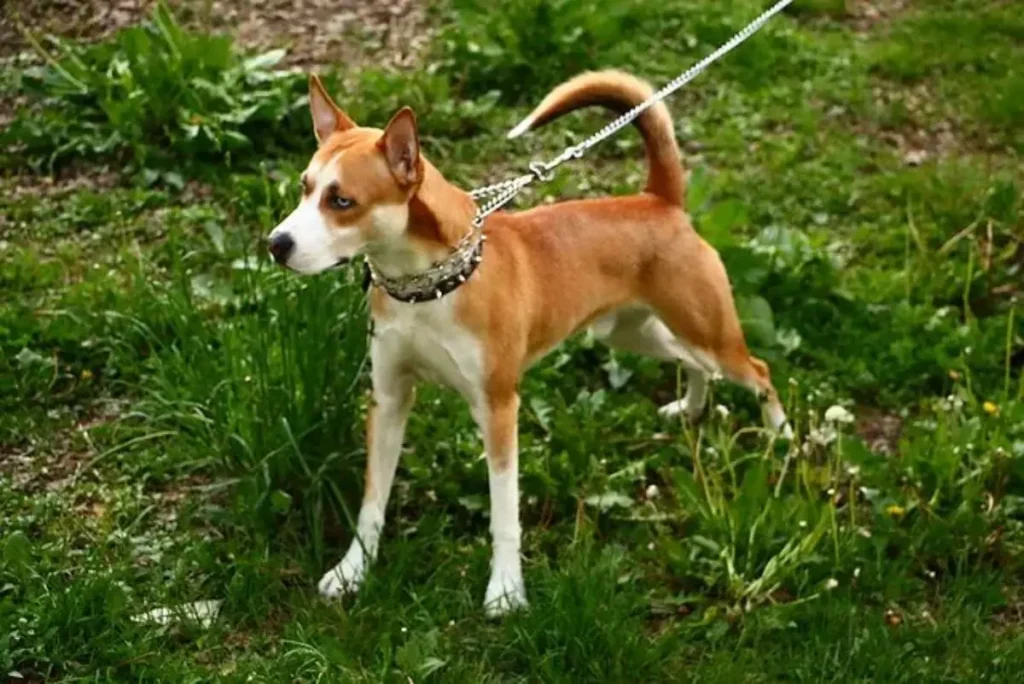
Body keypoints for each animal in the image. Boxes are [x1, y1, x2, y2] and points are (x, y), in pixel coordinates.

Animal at [266, 69, 790, 614]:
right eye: (305, 188)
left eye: (342, 201)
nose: (276, 244)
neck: (428, 286)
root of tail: (658, 200)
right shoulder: (389, 399)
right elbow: (372, 501)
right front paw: (352, 571)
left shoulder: (499, 409)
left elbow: (504, 515)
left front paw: (505, 590)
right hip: (633, 332)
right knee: (694, 362)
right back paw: (691, 408)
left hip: (709, 332)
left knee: (758, 370)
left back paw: (784, 437)